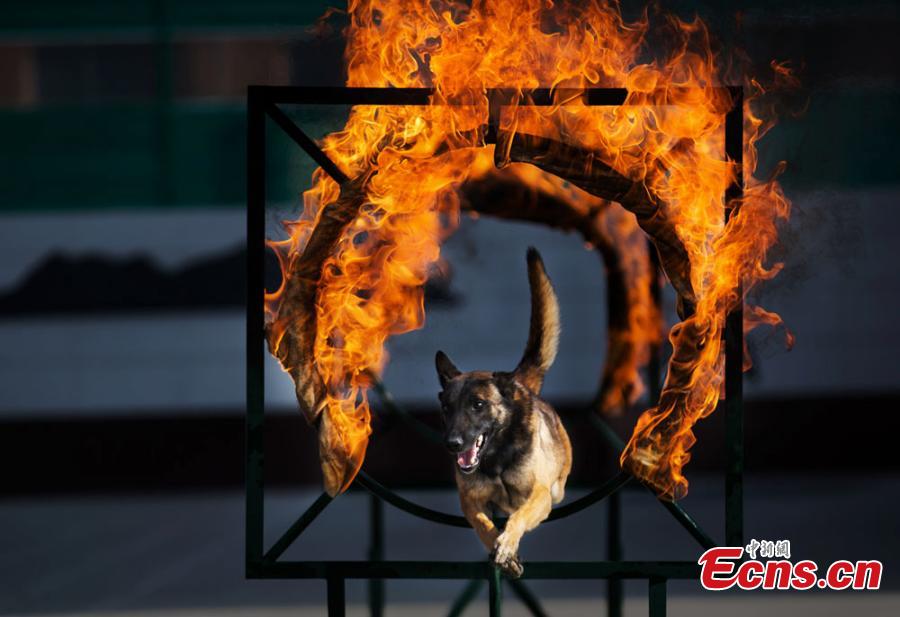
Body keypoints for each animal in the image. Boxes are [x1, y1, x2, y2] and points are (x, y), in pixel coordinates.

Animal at [434, 245, 568, 576]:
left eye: (478, 405)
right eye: (446, 408)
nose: (452, 444)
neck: (496, 459)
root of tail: (517, 381)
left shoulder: (539, 495)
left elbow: (518, 516)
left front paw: (507, 544)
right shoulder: (469, 500)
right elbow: (483, 525)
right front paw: (503, 551)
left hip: (556, 489)